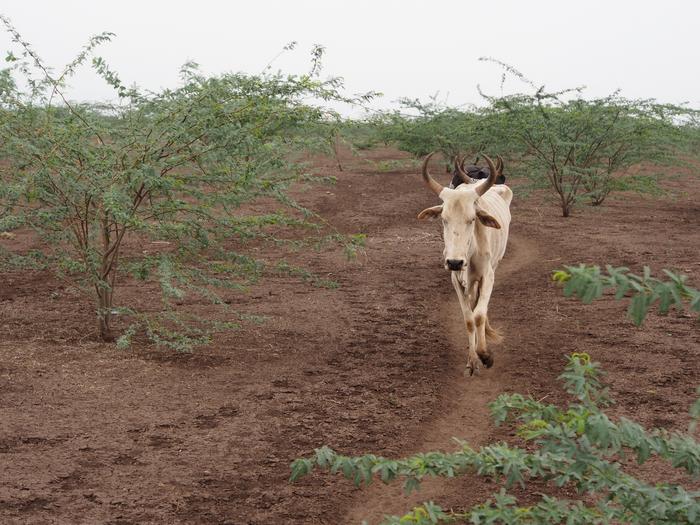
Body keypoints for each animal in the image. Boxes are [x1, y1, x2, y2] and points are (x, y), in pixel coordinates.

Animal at [417, 152, 512, 375]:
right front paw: (472, 360)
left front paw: (485, 355)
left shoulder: (488, 276)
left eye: (472, 219)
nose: (454, 262)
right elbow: (469, 319)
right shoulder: (455, 279)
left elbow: (478, 315)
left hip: (494, 266)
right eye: (444, 219)